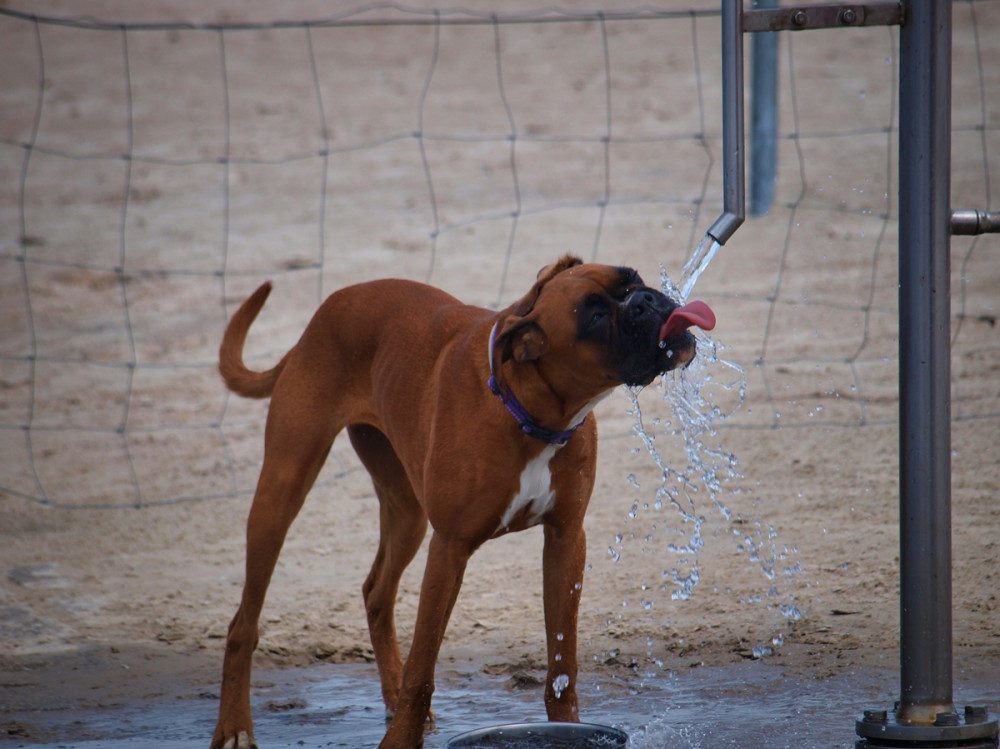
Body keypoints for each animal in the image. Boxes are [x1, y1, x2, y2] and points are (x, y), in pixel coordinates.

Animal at [211, 253, 716, 748]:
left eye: (633, 279)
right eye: (593, 316)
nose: (645, 301)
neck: (530, 411)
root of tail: (323, 313)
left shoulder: (566, 540)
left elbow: (562, 663)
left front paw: (568, 727)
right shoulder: (449, 550)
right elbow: (423, 668)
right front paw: (401, 740)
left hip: (406, 512)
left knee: (377, 592)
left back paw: (389, 696)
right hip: (281, 492)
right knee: (243, 624)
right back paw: (234, 726)